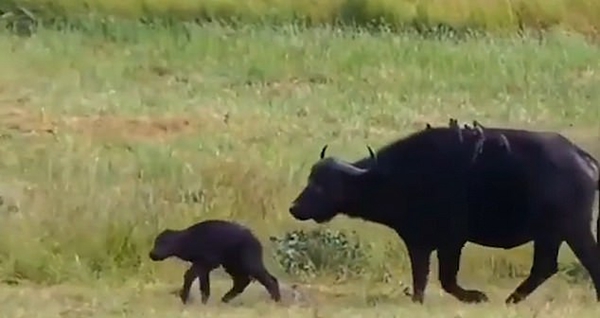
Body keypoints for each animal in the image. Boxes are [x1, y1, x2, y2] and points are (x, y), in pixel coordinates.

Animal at [149, 220, 282, 304]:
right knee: (242, 282)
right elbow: (204, 286)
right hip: (233, 265)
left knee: (270, 280)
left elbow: (189, 276)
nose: (152, 254)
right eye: (155, 242)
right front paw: (203, 301)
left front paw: (184, 298)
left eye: (163, 242)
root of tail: (256, 242)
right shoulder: (204, 267)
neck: (187, 240)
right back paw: (225, 299)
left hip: (248, 263)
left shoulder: (205, 262)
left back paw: (276, 300)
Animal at [288, 121, 596, 304]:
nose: (295, 208)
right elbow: (421, 278)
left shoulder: (448, 241)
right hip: (550, 235)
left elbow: (445, 279)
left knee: (587, 262)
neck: (399, 175)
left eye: (324, 186)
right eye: (310, 180)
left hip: (573, 229)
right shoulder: (418, 242)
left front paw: (476, 296)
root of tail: (584, 159)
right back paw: (512, 300)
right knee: (544, 267)